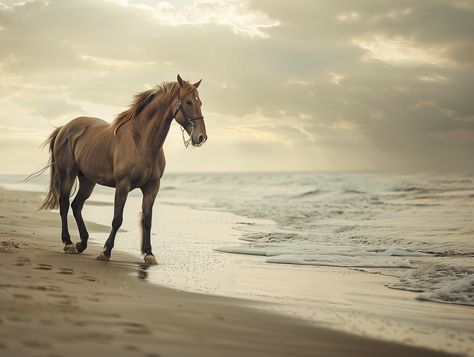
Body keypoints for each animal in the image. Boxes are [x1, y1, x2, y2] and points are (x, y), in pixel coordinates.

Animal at [37, 75, 207, 264]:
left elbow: (147, 220)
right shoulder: (123, 185)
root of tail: (65, 128)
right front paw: (106, 251)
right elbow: (117, 219)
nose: (201, 137)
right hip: (68, 175)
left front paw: (149, 253)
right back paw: (68, 243)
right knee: (65, 205)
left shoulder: (152, 187)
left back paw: (82, 243)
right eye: (188, 102)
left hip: (88, 181)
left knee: (76, 206)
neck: (141, 141)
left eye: (200, 102)